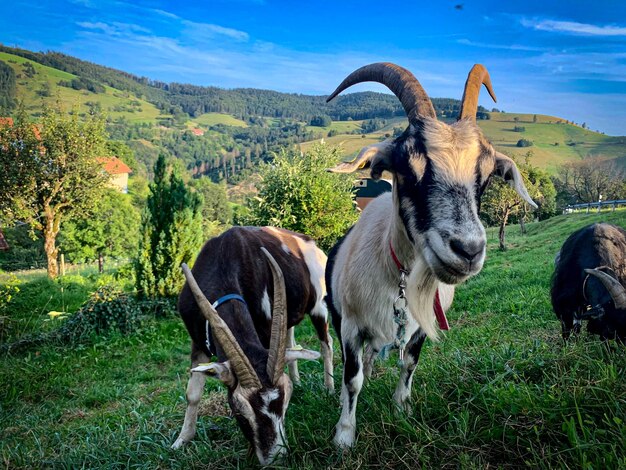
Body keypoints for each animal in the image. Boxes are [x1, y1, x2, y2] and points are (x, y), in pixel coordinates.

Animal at [172, 226, 332, 464]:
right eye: (239, 409)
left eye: (284, 405)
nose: (275, 459)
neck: (224, 260)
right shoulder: (198, 342)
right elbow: (193, 393)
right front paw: (182, 440)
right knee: (291, 340)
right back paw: (298, 378)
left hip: (319, 306)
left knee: (326, 344)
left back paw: (330, 389)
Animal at [324, 63, 532, 448]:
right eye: (407, 168)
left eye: (485, 177)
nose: (468, 250)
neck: (401, 280)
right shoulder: (351, 325)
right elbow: (352, 377)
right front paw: (344, 435)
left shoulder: (422, 323)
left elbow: (409, 364)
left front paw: (401, 409)